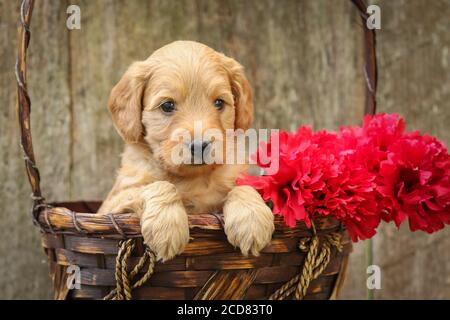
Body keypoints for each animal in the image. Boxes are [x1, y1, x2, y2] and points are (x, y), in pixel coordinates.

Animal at [98, 40, 274, 262]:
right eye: (167, 105)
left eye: (219, 102)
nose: (199, 145)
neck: (192, 178)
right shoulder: (113, 204)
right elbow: (159, 185)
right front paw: (167, 227)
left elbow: (242, 187)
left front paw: (251, 219)